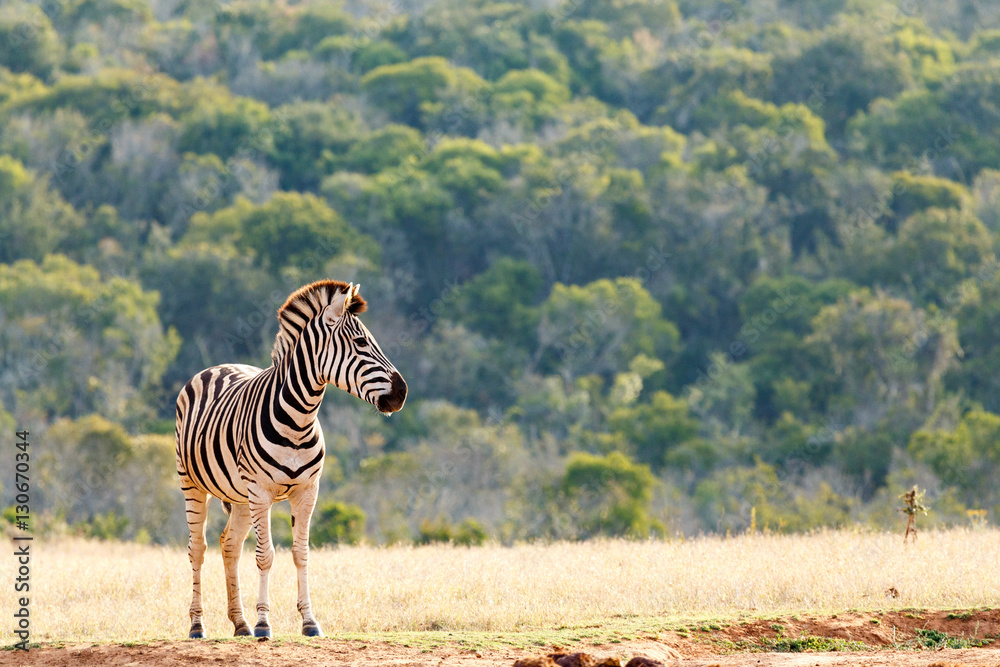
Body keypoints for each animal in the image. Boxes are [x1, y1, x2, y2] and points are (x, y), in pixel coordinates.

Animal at [174, 280, 406, 639]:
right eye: (360, 343)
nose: (402, 393)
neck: (299, 419)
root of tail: (218, 366)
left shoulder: (307, 491)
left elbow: (301, 553)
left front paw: (309, 621)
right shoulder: (261, 492)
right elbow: (265, 555)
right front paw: (264, 623)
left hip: (241, 497)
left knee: (229, 545)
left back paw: (239, 623)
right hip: (193, 484)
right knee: (197, 548)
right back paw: (198, 625)